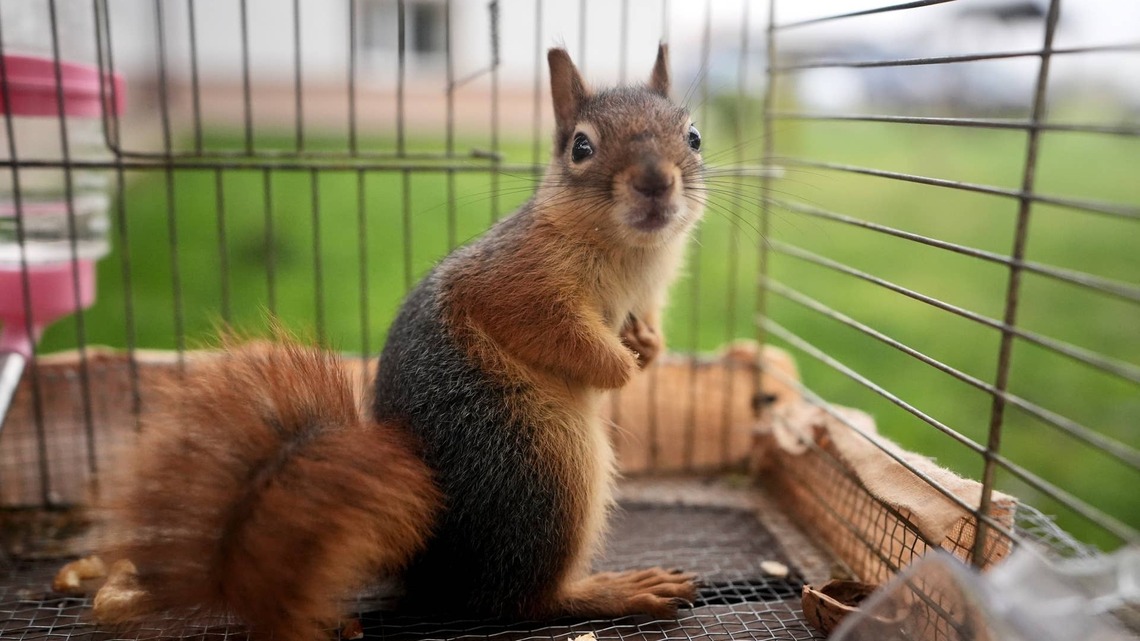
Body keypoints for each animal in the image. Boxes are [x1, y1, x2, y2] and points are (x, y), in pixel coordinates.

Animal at [99, 44, 705, 641]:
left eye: (693, 136)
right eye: (581, 147)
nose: (655, 182)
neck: (631, 255)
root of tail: (422, 560)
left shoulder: (645, 292)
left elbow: (643, 324)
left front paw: (647, 346)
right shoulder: (513, 282)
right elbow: (551, 329)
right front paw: (618, 367)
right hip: (544, 460)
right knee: (517, 599)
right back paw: (612, 590)